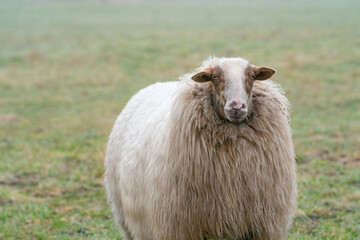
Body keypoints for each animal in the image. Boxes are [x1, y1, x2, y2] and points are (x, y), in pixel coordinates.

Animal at [105, 56, 296, 240]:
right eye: (215, 76)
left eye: (252, 76)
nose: (236, 106)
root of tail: (156, 85)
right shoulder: (183, 228)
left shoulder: (261, 226)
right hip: (125, 218)